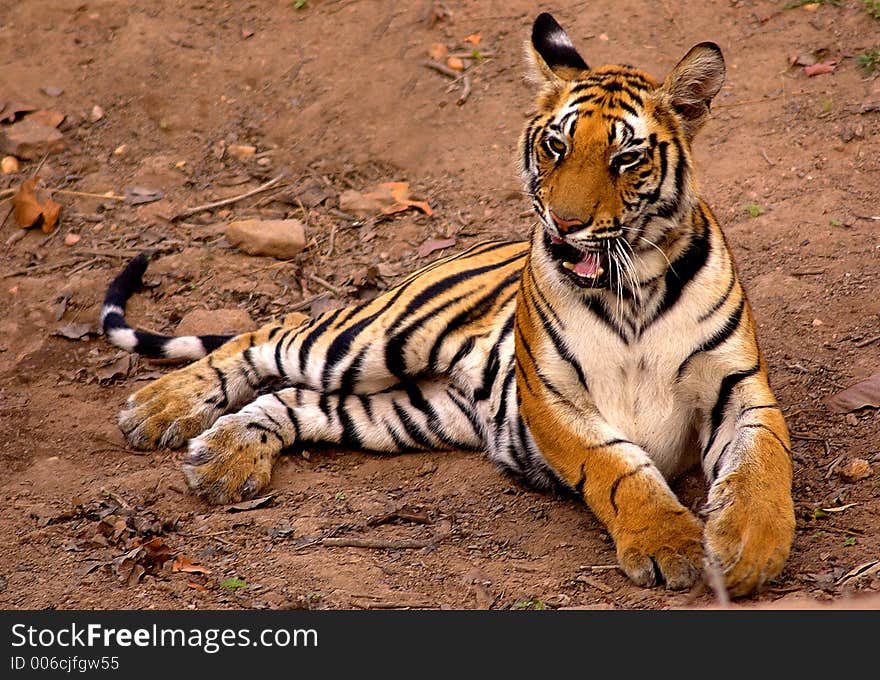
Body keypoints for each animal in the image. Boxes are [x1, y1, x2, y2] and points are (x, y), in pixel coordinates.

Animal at [101, 11, 796, 596]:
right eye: (556, 146)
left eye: (626, 157)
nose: (566, 225)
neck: (632, 286)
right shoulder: (552, 397)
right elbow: (618, 467)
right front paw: (670, 544)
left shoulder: (740, 387)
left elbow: (763, 465)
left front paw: (748, 549)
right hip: (370, 341)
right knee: (268, 333)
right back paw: (160, 410)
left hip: (406, 410)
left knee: (295, 400)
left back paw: (223, 458)